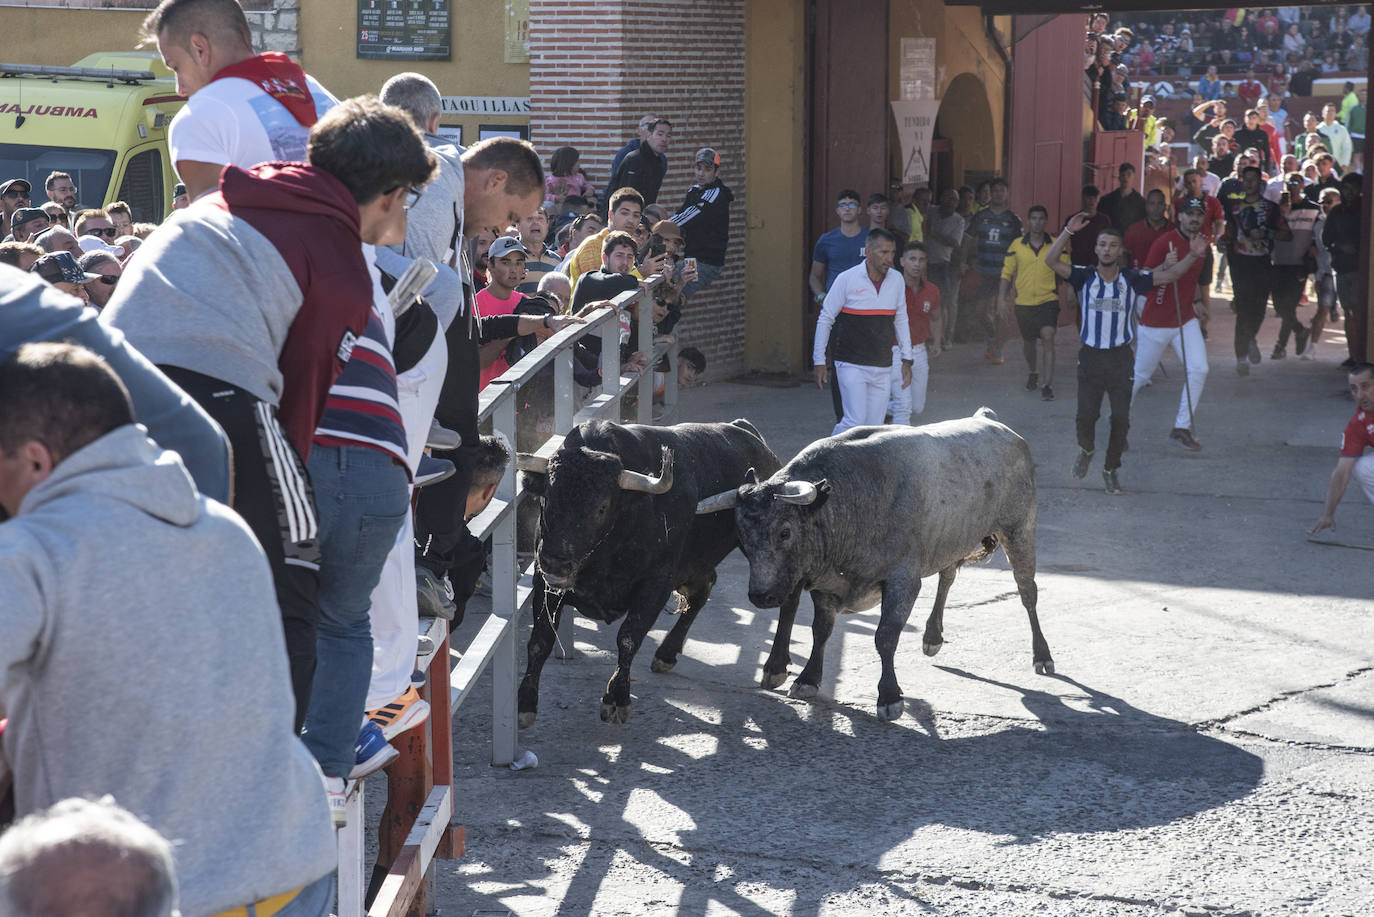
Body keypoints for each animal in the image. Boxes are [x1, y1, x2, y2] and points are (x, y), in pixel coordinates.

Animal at [516, 420, 780, 725]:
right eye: (547, 498)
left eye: (601, 508)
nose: (556, 561)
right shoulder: (544, 584)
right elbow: (540, 640)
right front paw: (525, 703)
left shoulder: (656, 585)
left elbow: (629, 638)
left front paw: (616, 699)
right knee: (702, 591)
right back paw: (666, 654)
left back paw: (778, 670)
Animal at [697, 409, 1049, 725]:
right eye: (741, 538)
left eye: (784, 532)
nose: (761, 597)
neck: (851, 502)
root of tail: (991, 420)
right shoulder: (826, 584)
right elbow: (820, 630)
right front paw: (808, 679)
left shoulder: (903, 582)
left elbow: (885, 637)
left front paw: (889, 697)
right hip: (952, 539)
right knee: (948, 575)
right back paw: (933, 635)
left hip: (1020, 529)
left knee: (1027, 591)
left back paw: (1042, 655)